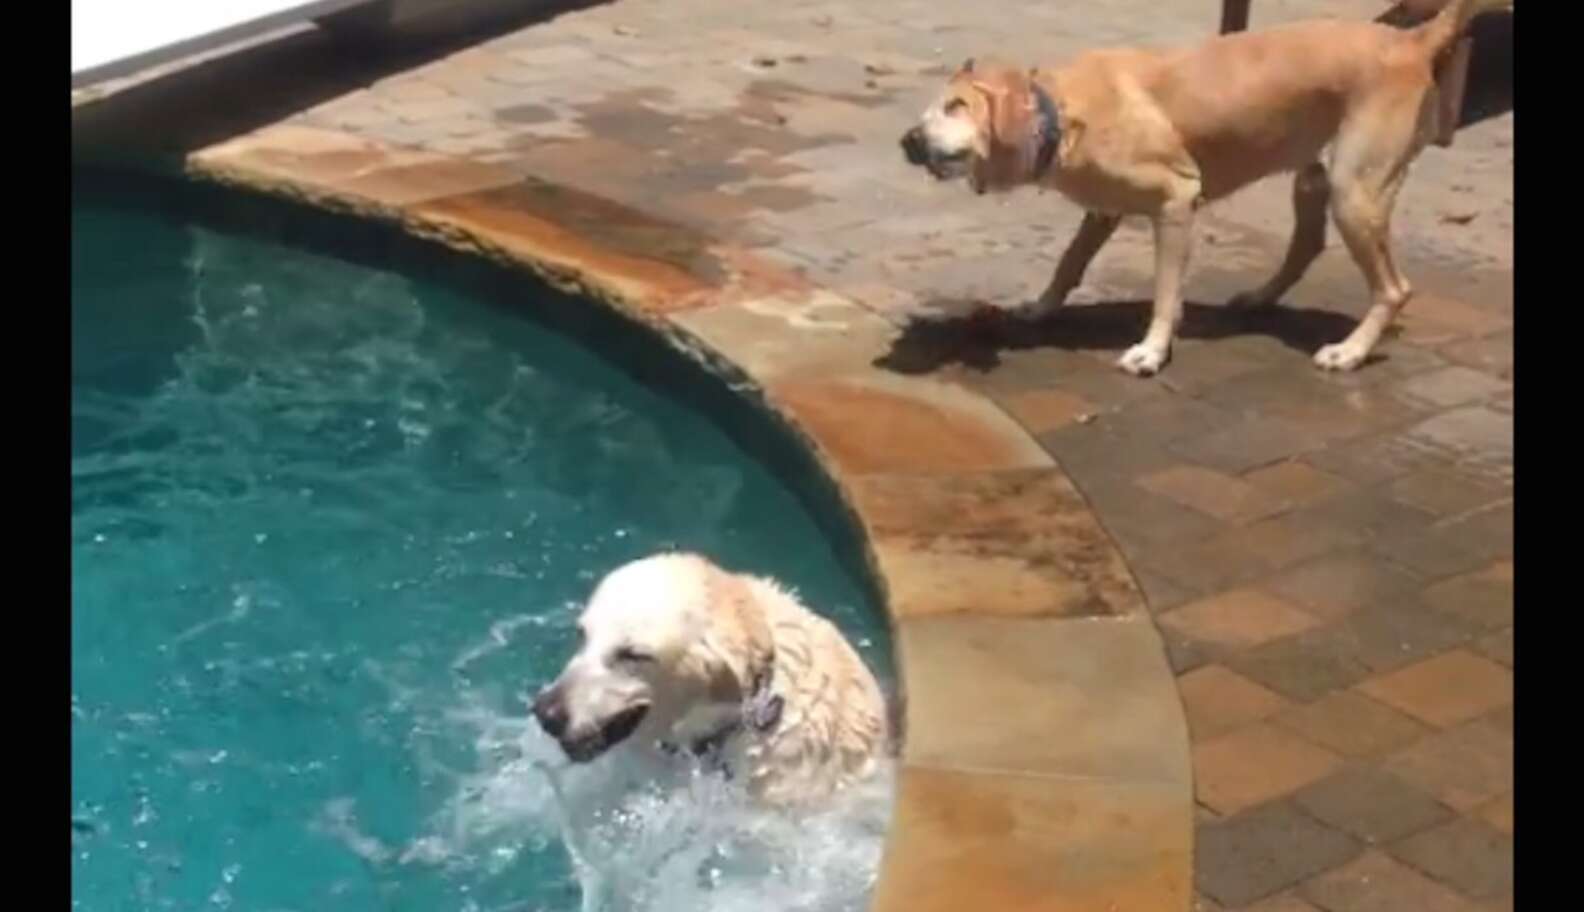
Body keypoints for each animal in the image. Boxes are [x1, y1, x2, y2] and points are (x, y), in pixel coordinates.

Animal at [906, 0, 1507, 373]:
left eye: (956, 106)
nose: (907, 140)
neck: (1061, 114)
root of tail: (1414, 38)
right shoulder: (1103, 208)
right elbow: (1070, 260)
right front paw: (1041, 307)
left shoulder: (1176, 200)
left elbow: (1164, 292)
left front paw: (1151, 351)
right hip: (1316, 179)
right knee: (1307, 245)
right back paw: (1259, 297)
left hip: (1354, 190)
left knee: (1394, 288)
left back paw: (1350, 352)